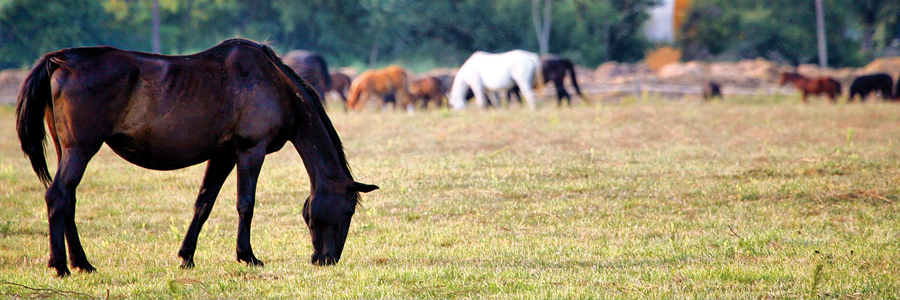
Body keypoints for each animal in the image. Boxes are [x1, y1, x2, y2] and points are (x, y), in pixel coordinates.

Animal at [17, 38, 376, 278]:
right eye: (348, 210)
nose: (326, 259)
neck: (274, 83)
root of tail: (62, 60)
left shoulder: (222, 156)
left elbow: (204, 203)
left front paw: (186, 256)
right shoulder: (250, 151)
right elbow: (246, 204)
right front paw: (247, 256)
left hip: (67, 150)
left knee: (68, 200)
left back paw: (81, 263)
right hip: (81, 149)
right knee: (58, 196)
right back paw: (62, 265)